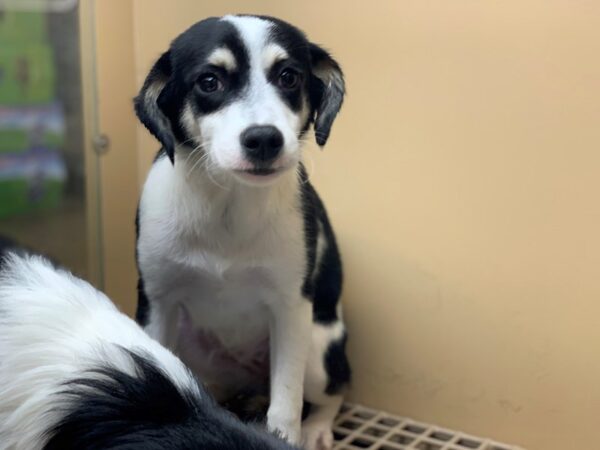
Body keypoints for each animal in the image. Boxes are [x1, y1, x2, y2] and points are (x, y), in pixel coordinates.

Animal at [135, 14, 352, 450]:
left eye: (289, 77)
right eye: (209, 81)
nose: (264, 139)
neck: (228, 205)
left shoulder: (290, 309)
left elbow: (285, 410)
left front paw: (291, 432)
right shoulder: (157, 302)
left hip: (317, 353)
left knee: (335, 389)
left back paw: (318, 428)